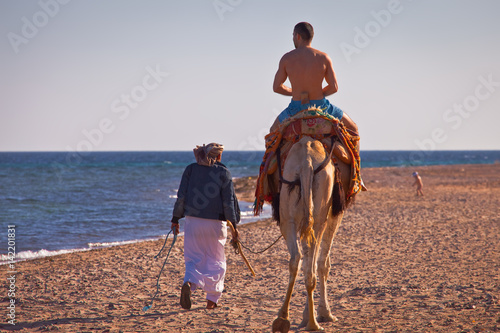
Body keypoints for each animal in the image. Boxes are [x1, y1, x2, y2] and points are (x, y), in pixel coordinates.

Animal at [272, 136, 350, 330]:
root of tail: (306, 163)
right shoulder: (335, 215)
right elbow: (323, 263)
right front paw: (324, 313)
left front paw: (308, 314)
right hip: (320, 213)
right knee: (312, 263)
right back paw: (313, 323)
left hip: (289, 214)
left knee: (297, 258)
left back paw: (282, 317)